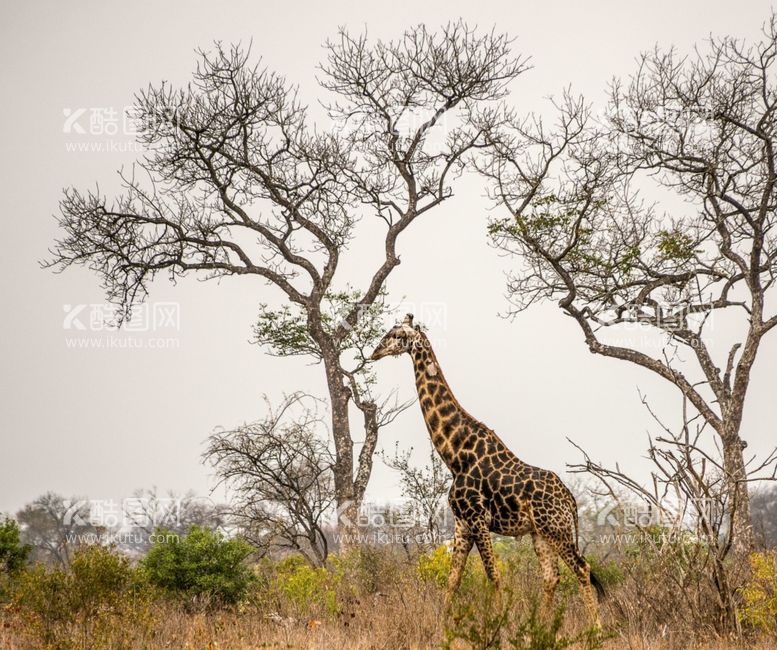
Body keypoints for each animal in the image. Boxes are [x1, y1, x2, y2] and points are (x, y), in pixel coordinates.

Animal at [372, 314, 608, 624]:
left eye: (395, 334)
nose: (374, 352)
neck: (455, 455)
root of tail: (570, 500)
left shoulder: (477, 519)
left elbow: (493, 574)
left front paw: (500, 623)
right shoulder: (462, 524)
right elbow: (453, 579)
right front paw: (441, 624)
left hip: (555, 528)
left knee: (582, 568)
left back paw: (597, 628)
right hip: (540, 533)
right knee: (551, 576)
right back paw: (542, 625)